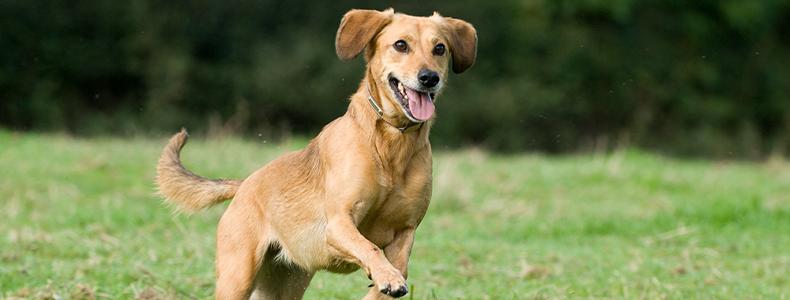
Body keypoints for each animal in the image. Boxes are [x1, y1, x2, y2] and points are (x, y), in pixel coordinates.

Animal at [155, 8, 476, 298]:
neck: (390, 143)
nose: (429, 77)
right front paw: (387, 277)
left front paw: (386, 280)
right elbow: (369, 247)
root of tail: (245, 184)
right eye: (400, 45)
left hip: (286, 283)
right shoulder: (339, 223)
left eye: (439, 48)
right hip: (238, 276)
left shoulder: (405, 232)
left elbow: (396, 269)